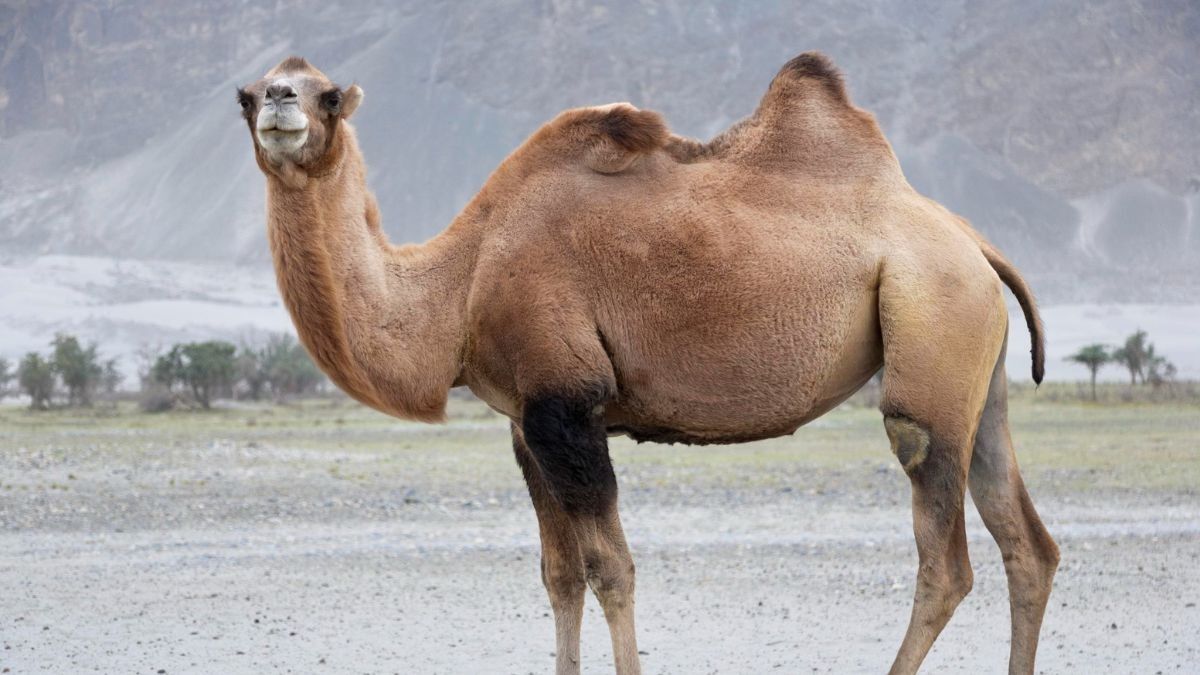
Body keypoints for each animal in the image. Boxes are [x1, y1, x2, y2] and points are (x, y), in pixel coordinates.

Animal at [237, 53, 1059, 674]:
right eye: (247, 93)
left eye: (328, 96)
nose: (280, 102)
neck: (461, 282)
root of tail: (970, 239)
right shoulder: (526, 422)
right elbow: (559, 574)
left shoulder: (568, 404)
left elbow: (612, 569)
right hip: (975, 369)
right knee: (1028, 544)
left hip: (931, 332)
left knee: (944, 556)